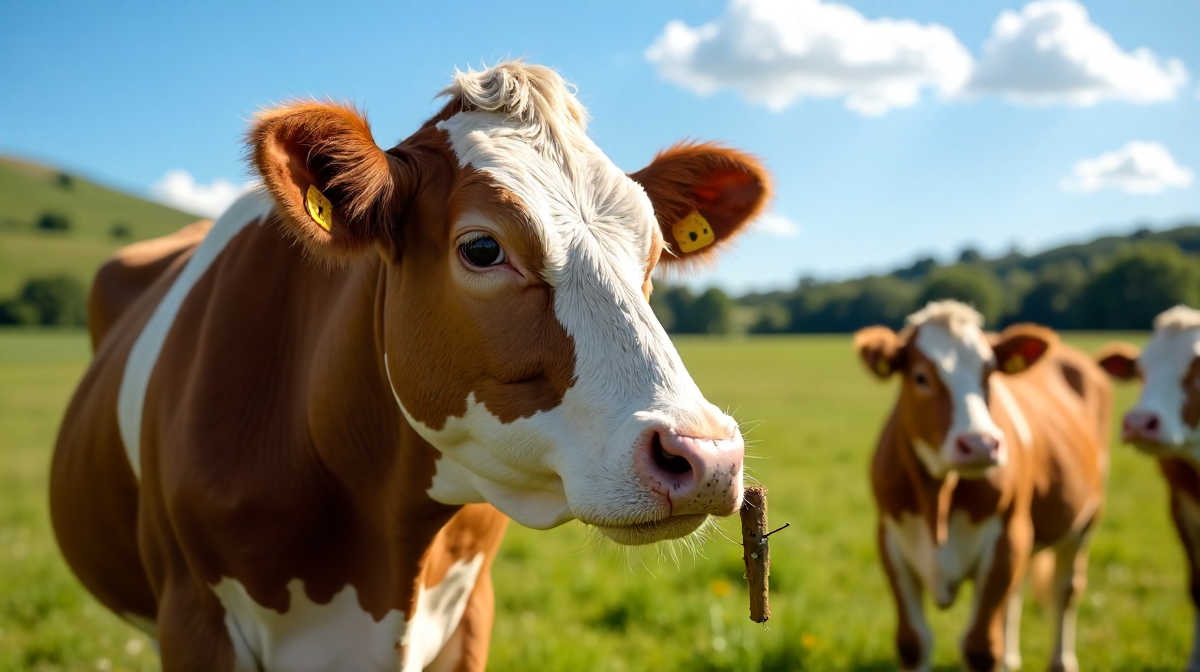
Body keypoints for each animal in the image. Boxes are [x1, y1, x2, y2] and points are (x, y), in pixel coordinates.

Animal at [854, 301, 1110, 672]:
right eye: (920, 377)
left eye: (989, 375)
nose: (980, 444)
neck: (938, 500)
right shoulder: (890, 539)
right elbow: (913, 642)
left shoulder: (1007, 538)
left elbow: (981, 648)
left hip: (1086, 517)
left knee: (1066, 590)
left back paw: (1061, 661)